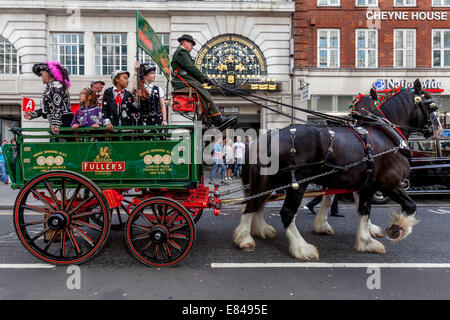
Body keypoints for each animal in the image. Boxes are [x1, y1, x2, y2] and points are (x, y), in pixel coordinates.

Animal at [236, 79, 442, 260]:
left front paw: (364, 235)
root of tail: (270, 136)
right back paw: (301, 248)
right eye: (432, 105)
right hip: (297, 182)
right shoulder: (389, 183)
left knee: (255, 203)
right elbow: (407, 206)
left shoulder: (363, 184)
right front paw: (393, 231)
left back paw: (249, 235)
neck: (386, 134)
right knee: (284, 212)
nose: (438, 129)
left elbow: (358, 208)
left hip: (270, 180)